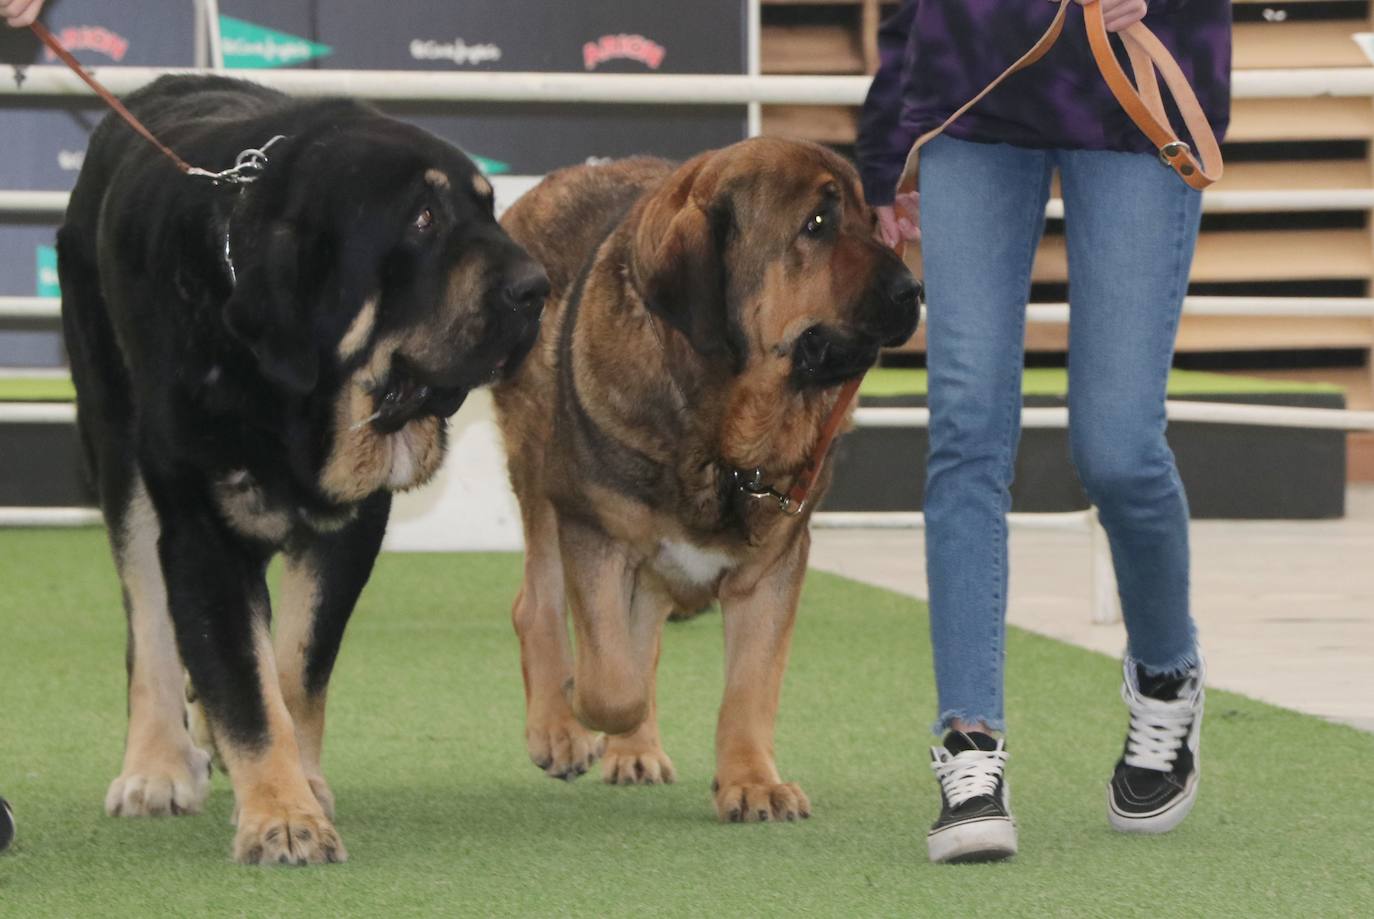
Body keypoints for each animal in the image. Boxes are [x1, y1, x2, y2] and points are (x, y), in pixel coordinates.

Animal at [60, 75, 546, 862]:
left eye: (488, 207)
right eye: (422, 219)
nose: (538, 287)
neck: (298, 395)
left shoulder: (348, 530)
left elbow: (293, 668)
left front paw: (296, 789)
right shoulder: (203, 536)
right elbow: (248, 688)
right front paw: (281, 817)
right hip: (116, 443)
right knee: (149, 619)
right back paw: (156, 766)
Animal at [497, 140, 923, 818]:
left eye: (869, 220)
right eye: (817, 225)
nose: (914, 289)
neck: (723, 429)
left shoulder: (772, 569)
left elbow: (748, 687)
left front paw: (752, 781)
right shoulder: (592, 529)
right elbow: (611, 680)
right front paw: (588, 710)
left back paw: (633, 749)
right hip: (540, 469)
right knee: (538, 605)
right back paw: (559, 729)